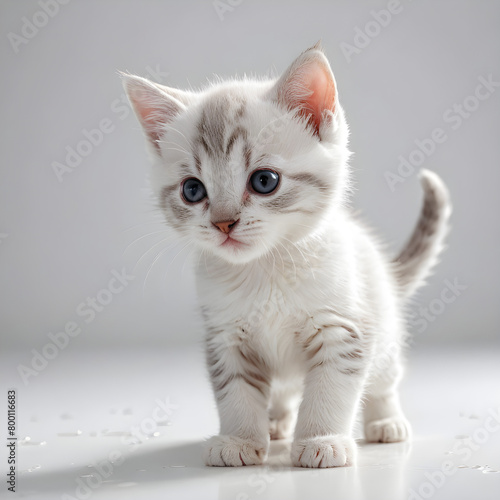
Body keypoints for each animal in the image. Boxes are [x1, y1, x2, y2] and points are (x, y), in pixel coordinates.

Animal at [123, 44, 452, 468]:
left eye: (264, 181)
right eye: (192, 190)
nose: (224, 223)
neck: (265, 270)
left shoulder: (343, 328)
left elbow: (330, 390)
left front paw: (322, 439)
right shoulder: (225, 337)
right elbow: (237, 392)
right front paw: (240, 439)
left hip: (385, 332)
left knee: (382, 382)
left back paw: (386, 422)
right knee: (282, 392)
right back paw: (276, 423)